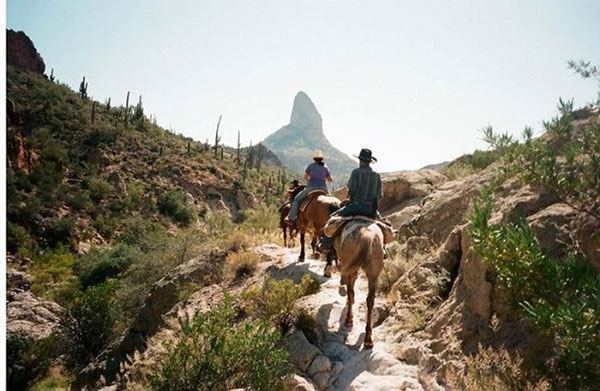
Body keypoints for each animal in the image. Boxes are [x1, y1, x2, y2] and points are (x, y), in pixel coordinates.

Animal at [332, 219, 384, 350]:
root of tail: (367, 235)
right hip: (373, 273)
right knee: (370, 300)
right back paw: (368, 339)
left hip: (352, 266)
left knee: (351, 292)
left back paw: (348, 320)